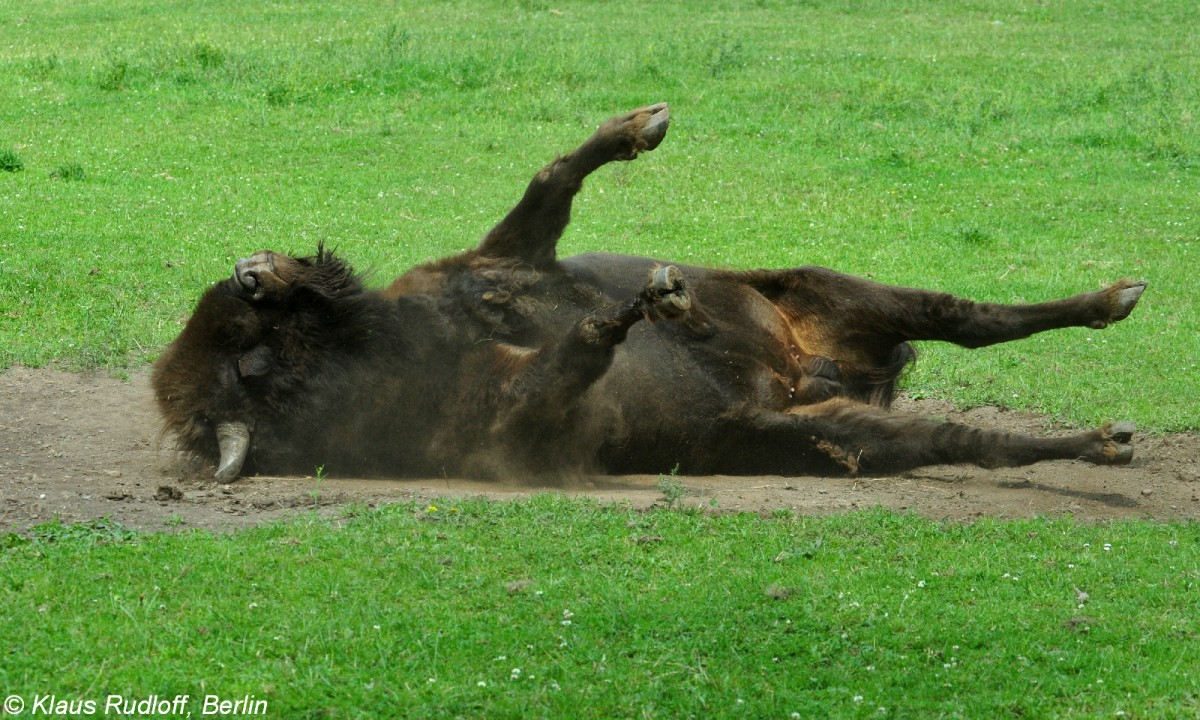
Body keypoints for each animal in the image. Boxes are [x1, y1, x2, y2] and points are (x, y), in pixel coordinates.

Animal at [154, 102, 1147, 484]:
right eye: (252, 363)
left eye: (245, 321)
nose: (254, 268)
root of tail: (819, 375)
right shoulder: (514, 421)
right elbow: (579, 347)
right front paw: (649, 301)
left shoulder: (513, 258)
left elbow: (552, 180)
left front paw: (642, 126)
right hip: (813, 432)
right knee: (959, 435)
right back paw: (1105, 441)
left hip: (827, 290)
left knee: (961, 319)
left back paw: (1115, 299)